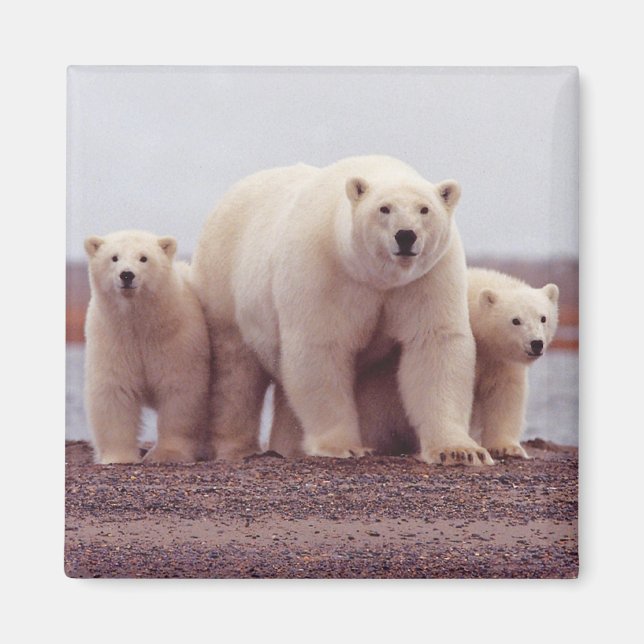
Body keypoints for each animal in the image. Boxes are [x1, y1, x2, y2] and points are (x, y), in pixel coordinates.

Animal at [83, 230, 210, 464]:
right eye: (114, 257)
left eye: (144, 258)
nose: (127, 275)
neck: (140, 325)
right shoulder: (113, 339)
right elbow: (115, 390)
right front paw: (119, 457)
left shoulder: (176, 339)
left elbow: (180, 391)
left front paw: (167, 454)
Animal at [191, 155, 493, 466]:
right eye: (384, 208)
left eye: (425, 209)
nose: (406, 236)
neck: (376, 277)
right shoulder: (324, 269)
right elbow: (321, 347)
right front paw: (343, 446)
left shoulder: (427, 276)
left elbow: (434, 343)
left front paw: (460, 451)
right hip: (224, 284)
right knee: (235, 372)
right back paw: (236, 448)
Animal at [272, 267, 559, 460]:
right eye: (515, 320)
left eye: (543, 317)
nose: (536, 344)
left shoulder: (499, 360)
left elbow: (505, 394)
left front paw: (507, 447)